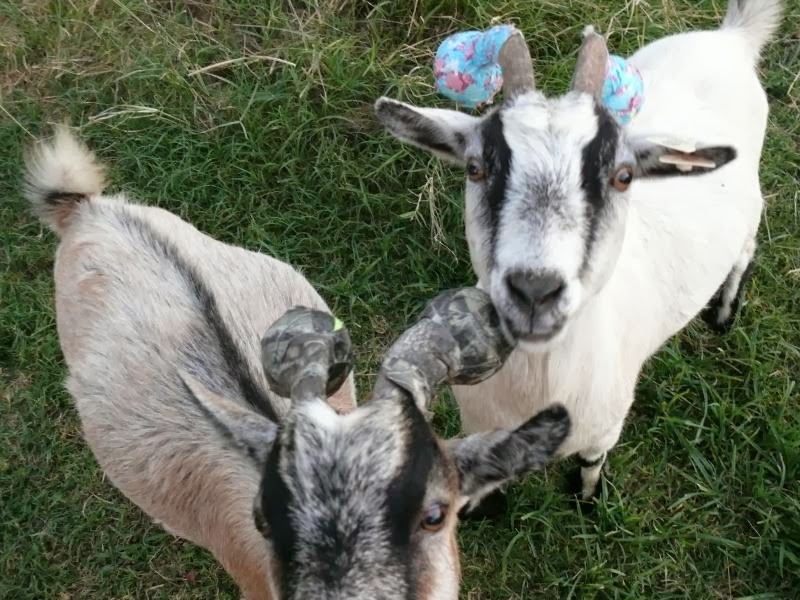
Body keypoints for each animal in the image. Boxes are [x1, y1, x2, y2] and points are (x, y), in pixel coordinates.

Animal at [375, 0, 781, 502]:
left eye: (623, 176)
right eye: (474, 168)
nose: (535, 291)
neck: (539, 383)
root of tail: (731, 39)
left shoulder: (605, 428)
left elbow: (590, 466)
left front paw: (587, 499)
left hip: (751, 200)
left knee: (747, 242)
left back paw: (724, 311)